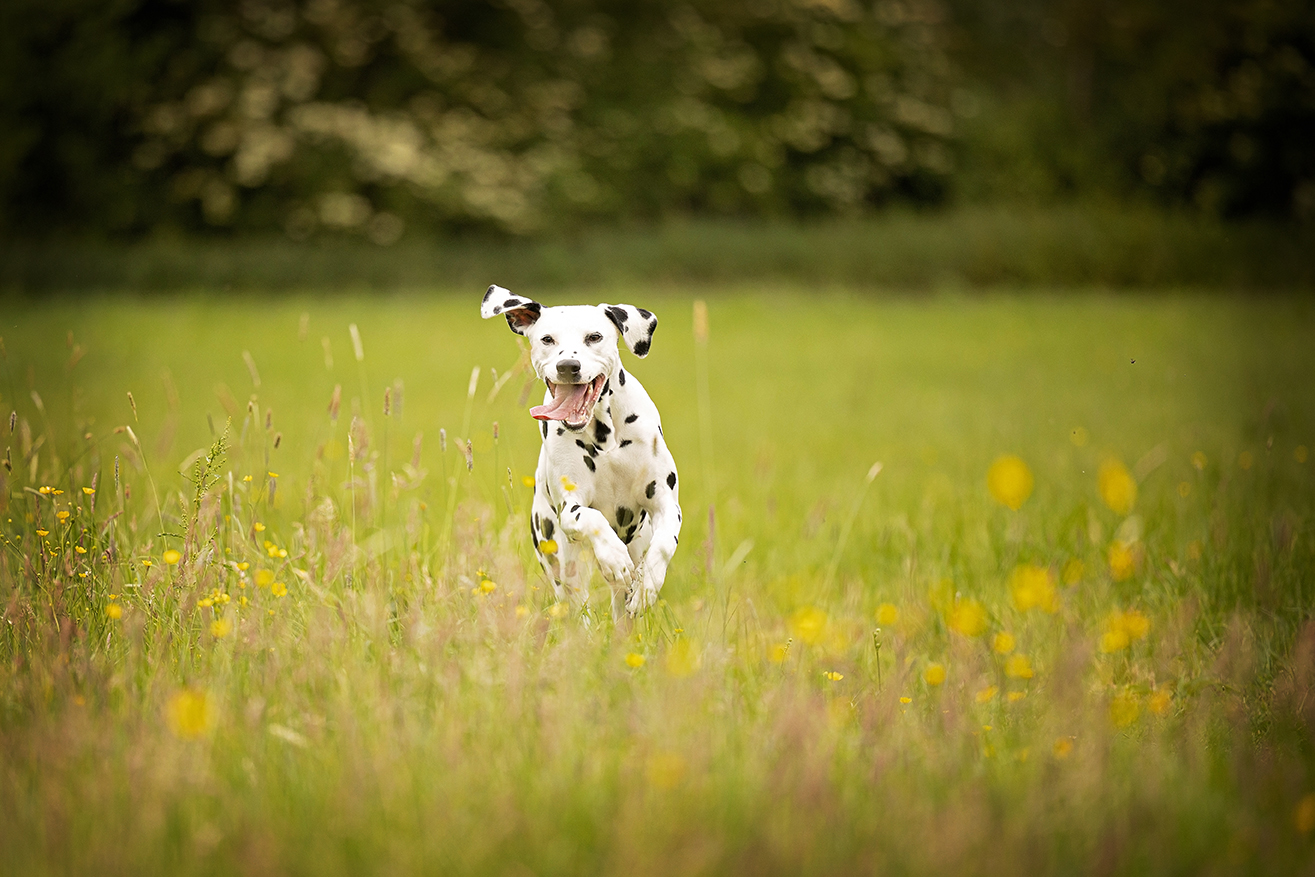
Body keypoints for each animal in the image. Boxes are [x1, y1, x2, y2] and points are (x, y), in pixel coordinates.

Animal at [481, 285, 682, 618]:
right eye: (547, 339)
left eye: (594, 337)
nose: (568, 366)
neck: (605, 436)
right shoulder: (570, 508)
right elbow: (591, 518)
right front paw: (614, 557)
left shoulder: (665, 502)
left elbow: (665, 544)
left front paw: (646, 587)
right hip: (561, 561)